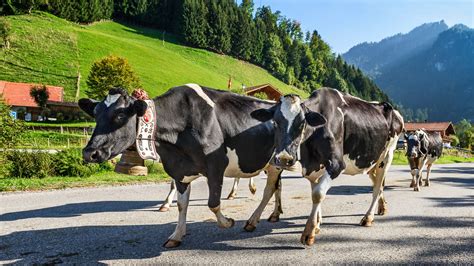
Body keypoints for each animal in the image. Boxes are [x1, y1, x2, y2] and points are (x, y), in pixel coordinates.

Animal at [78, 84, 292, 247]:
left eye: (120, 115)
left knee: (269, 190)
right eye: (95, 114)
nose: (89, 152)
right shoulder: (178, 169)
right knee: (278, 187)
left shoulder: (216, 166)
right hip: (273, 164)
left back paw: (253, 220)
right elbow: (182, 204)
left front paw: (227, 222)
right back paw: (274, 214)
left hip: (276, 163)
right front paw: (176, 235)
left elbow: (213, 203)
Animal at [248, 88, 404, 246]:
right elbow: (314, 191)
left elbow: (318, 194)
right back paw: (382, 207)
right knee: (379, 183)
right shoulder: (314, 167)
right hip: (372, 162)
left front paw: (309, 231)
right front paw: (317, 224)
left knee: (377, 188)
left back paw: (368, 218)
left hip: (387, 157)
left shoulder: (336, 165)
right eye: (275, 122)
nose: (284, 159)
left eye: (302, 123)